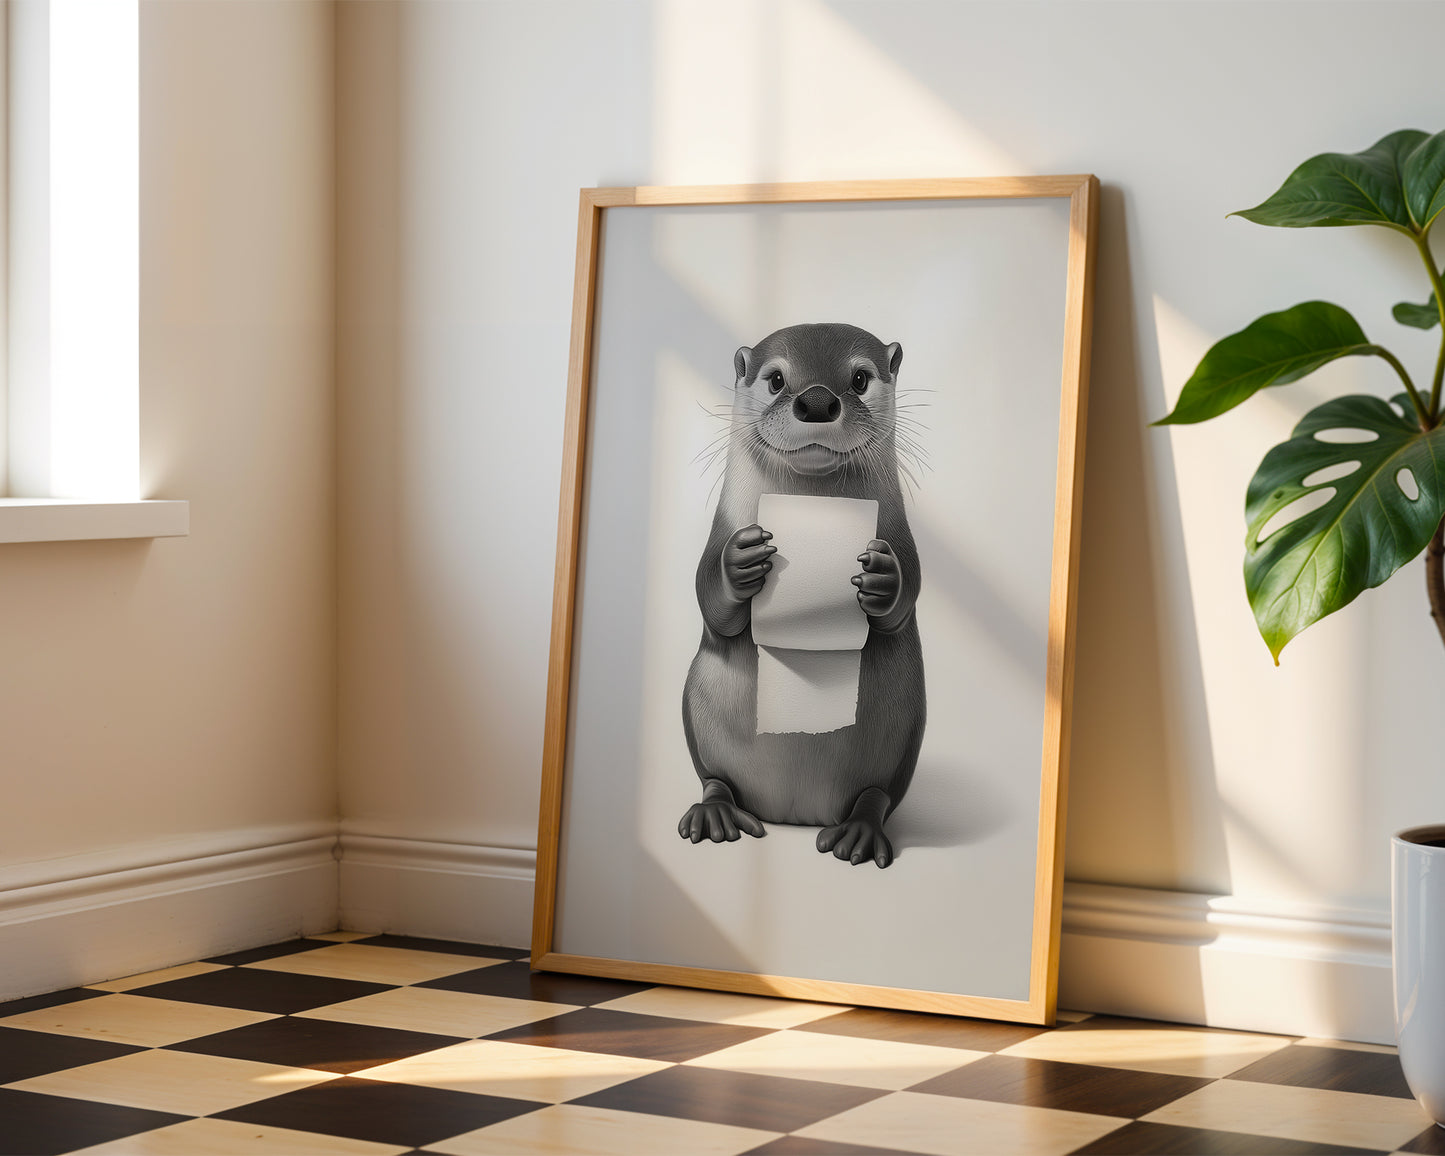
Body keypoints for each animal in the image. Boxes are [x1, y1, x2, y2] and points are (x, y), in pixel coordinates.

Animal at [679, 322, 926, 868]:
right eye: (776, 380)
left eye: (860, 378)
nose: (815, 400)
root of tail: (794, 810)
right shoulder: (718, 532)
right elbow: (708, 594)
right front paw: (740, 562)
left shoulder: (902, 537)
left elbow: (911, 587)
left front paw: (883, 578)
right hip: (696, 709)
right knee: (714, 778)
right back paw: (717, 815)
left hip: (907, 729)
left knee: (880, 794)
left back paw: (859, 831)